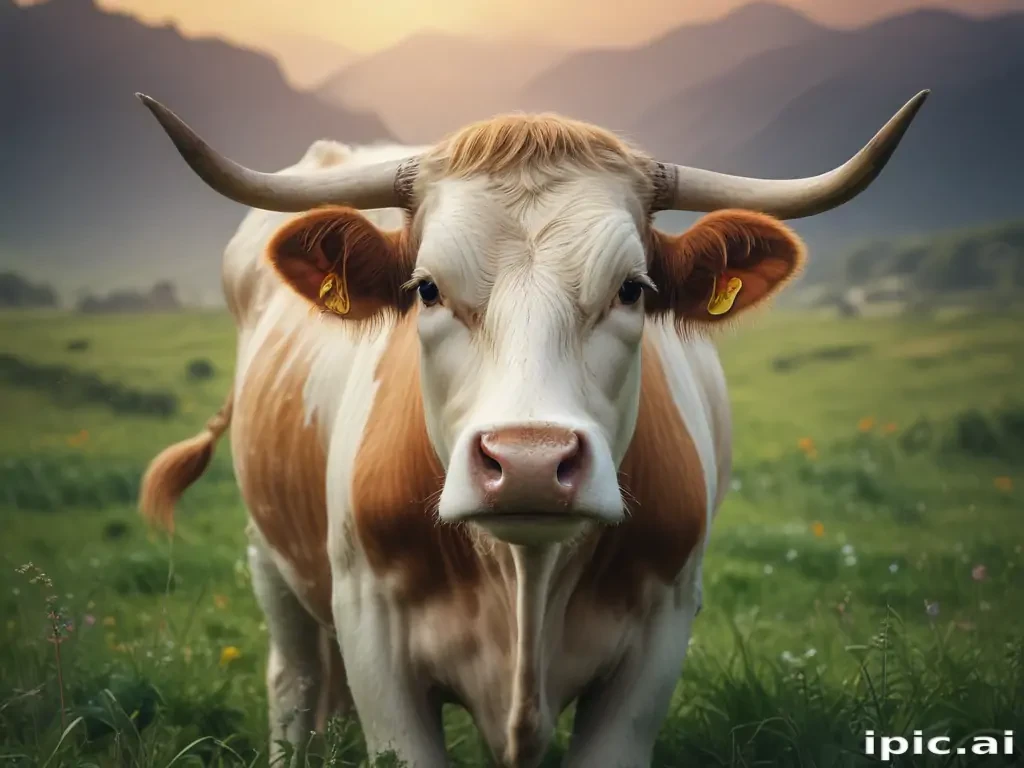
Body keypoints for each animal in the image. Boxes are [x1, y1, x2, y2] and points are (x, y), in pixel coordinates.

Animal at [137, 90, 928, 768]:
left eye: (631, 289)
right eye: (427, 289)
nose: (527, 463)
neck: (524, 577)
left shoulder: (659, 635)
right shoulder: (373, 632)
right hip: (272, 563)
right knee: (295, 685)